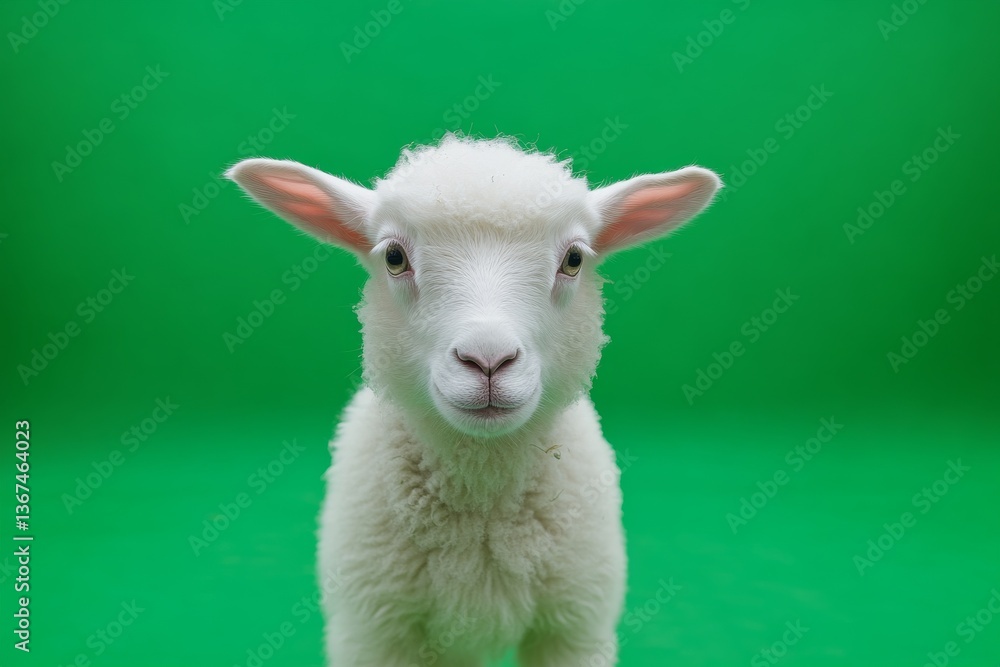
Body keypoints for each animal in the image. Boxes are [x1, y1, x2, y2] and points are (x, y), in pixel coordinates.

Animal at [227, 134, 720, 667]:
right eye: (394, 257)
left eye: (573, 260)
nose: (488, 360)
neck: (481, 497)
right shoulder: (373, 630)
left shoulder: (575, 624)